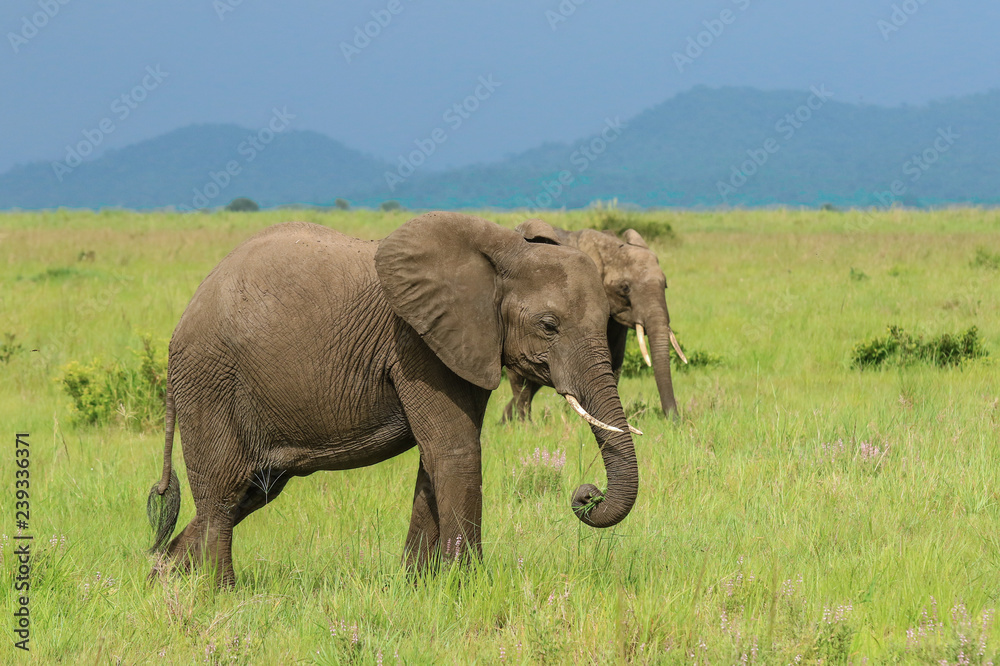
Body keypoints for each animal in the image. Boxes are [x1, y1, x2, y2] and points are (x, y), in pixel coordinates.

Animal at [146, 212, 640, 586]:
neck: (502, 248)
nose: (587, 494)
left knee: (252, 491)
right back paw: (219, 595)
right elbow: (456, 450)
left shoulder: (462, 343)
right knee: (224, 491)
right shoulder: (416, 343)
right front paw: (465, 586)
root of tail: (180, 325)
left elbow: (434, 457)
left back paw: (160, 580)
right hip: (210, 381)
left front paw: (416, 586)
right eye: (549, 325)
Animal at [501, 220, 686, 422]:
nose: (674, 421)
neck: (608, 246)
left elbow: (614, 360)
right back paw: (524, 423)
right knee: (520, 379)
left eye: (665, 285)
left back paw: (506, 419)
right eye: (625, 288)